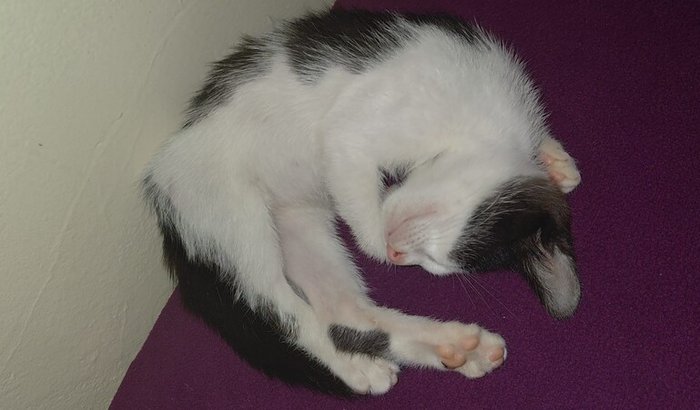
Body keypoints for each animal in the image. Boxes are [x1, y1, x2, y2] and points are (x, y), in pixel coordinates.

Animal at [142, 10, 582, 395]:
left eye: (434, 264)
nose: (400, 256)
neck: (485, 123)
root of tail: (162, 181)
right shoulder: (356, 128)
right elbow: (348, 157)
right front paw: (377, 241)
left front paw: (557, 162)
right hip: (229, 214)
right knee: (284, 313)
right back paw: (355, 367)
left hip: (298, 223)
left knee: (343, 310)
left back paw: (453, 347)